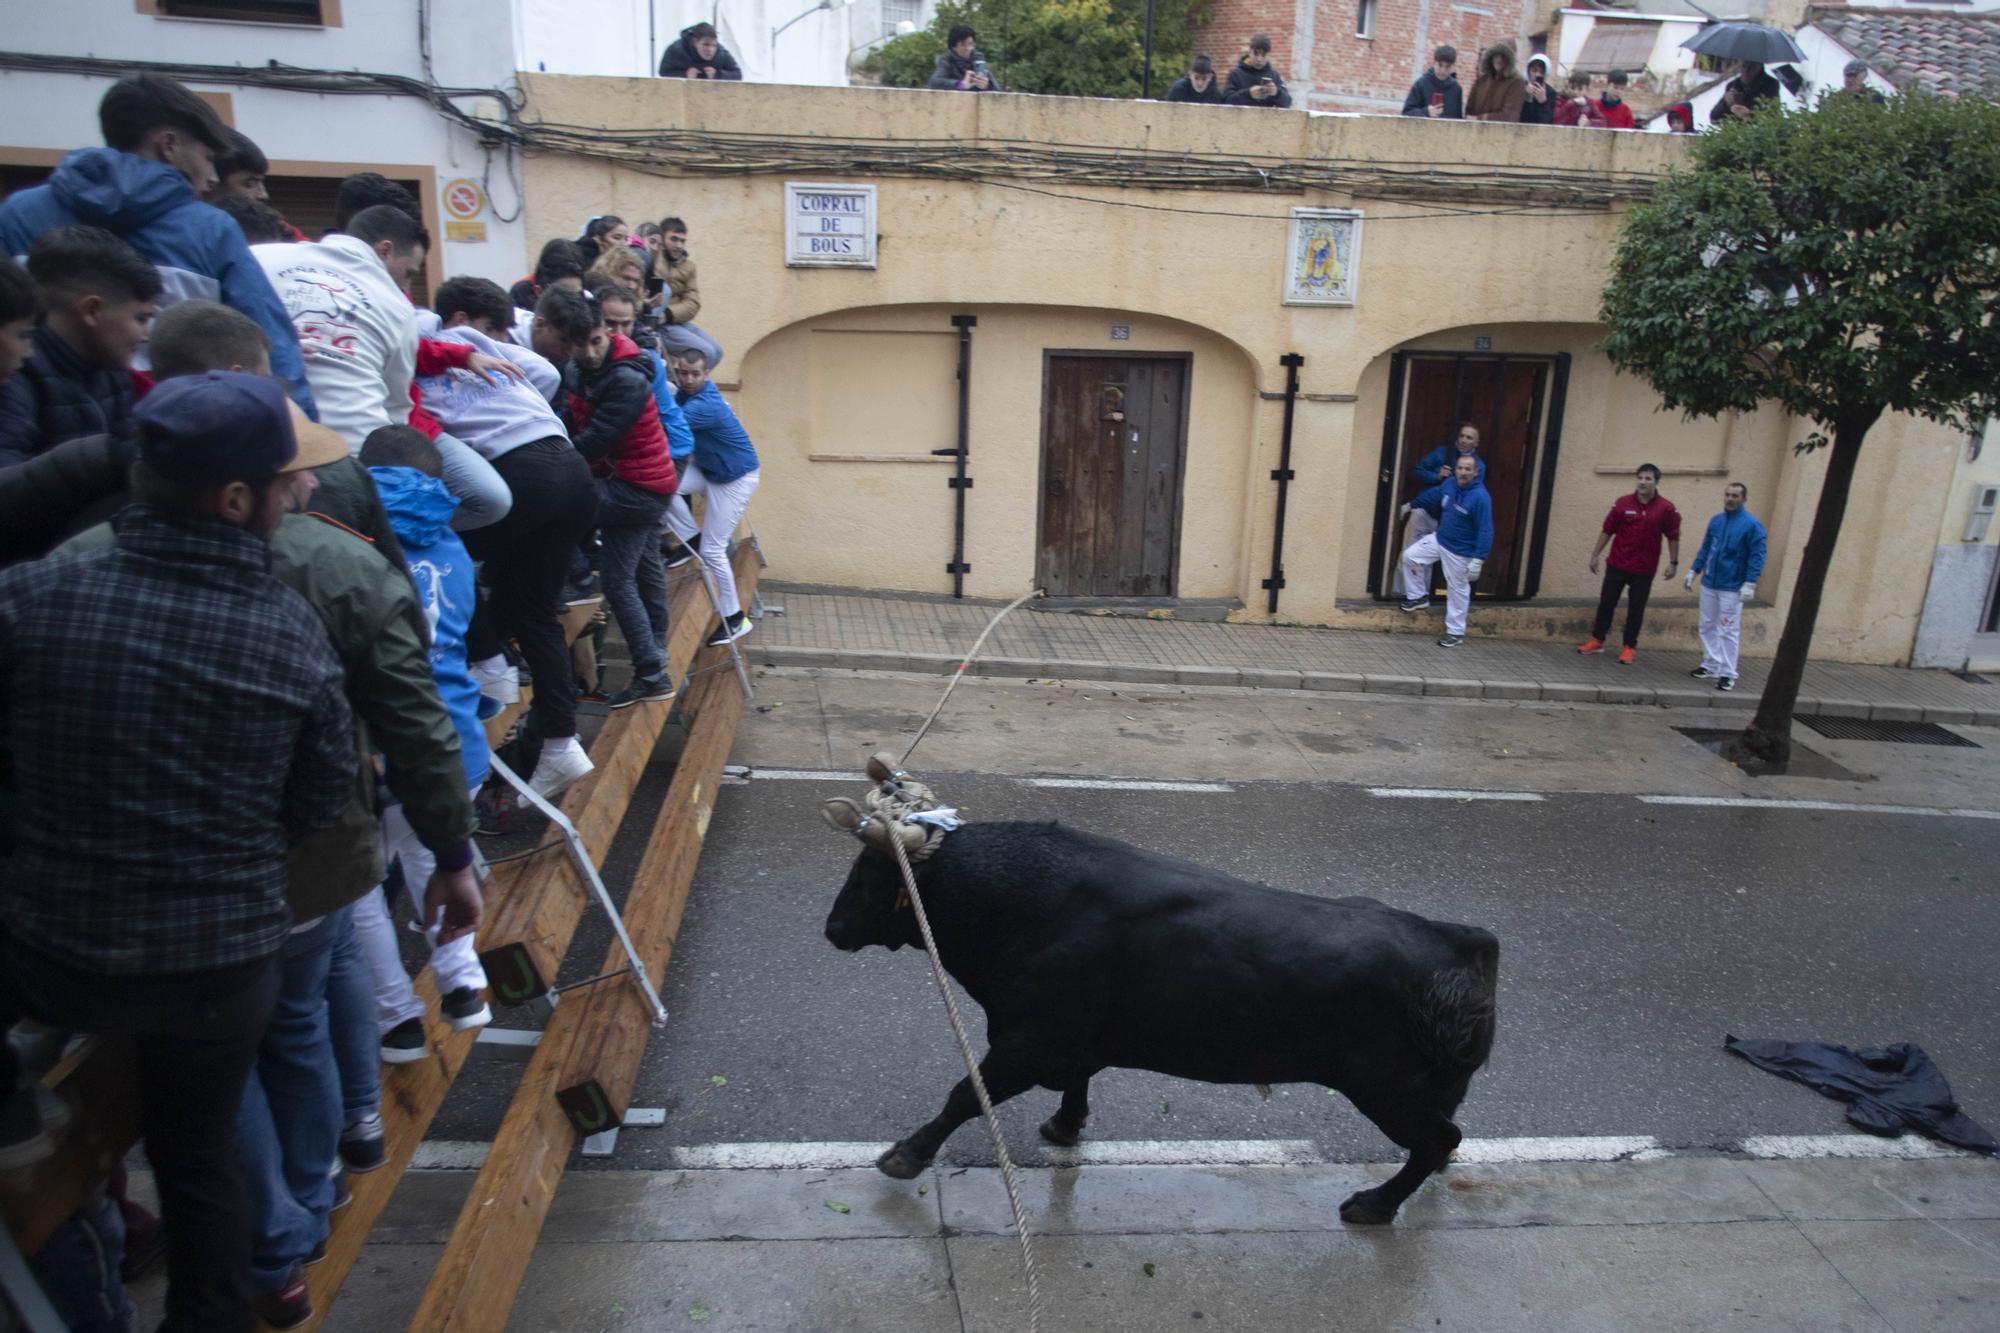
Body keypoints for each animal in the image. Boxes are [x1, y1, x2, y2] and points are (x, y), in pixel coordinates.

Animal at [820, 816, 1496, 1216]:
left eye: (867, 876)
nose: (831, 929)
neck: (1025, 901)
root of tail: (1462, 940)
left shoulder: (1026, 1043)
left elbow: (965, 1094)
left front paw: (905, 1155)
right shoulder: (1068, 1044)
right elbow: (1074, 1084)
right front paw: (1064, 1127)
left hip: (1389, 1093)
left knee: (1438, 1140)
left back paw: (1373, 1206)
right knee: (1442, 1142)